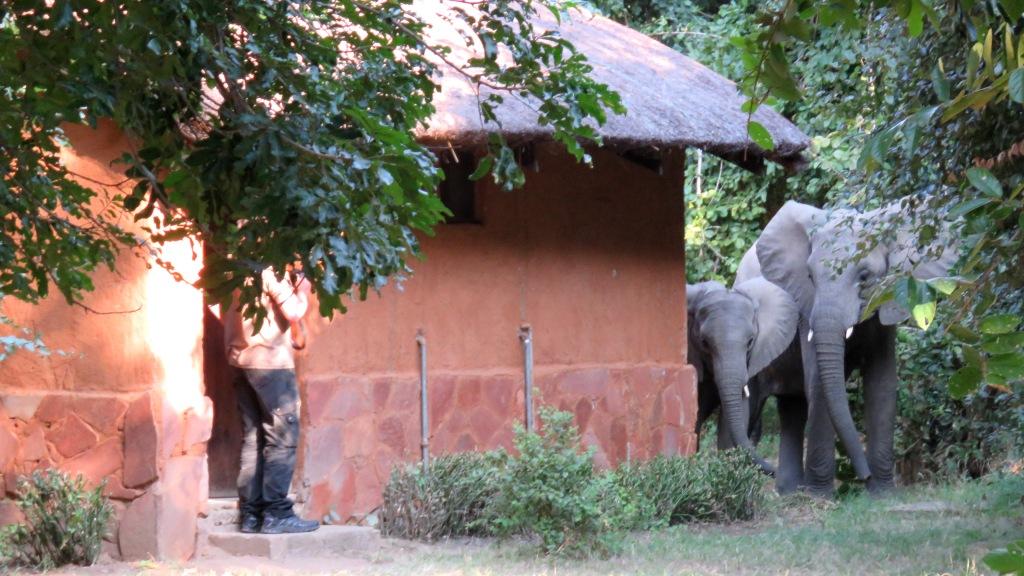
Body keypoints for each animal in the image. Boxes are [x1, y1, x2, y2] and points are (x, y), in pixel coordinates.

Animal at [753, 198, 958, 494]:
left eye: (864, 276)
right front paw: (821, 497)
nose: (864, 476)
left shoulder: (886, 301)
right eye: (809, 277)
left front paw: (883, 493)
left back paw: (791, 491)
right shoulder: (806, 309)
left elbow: (882, 383)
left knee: (792, 408)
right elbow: (818, 383)